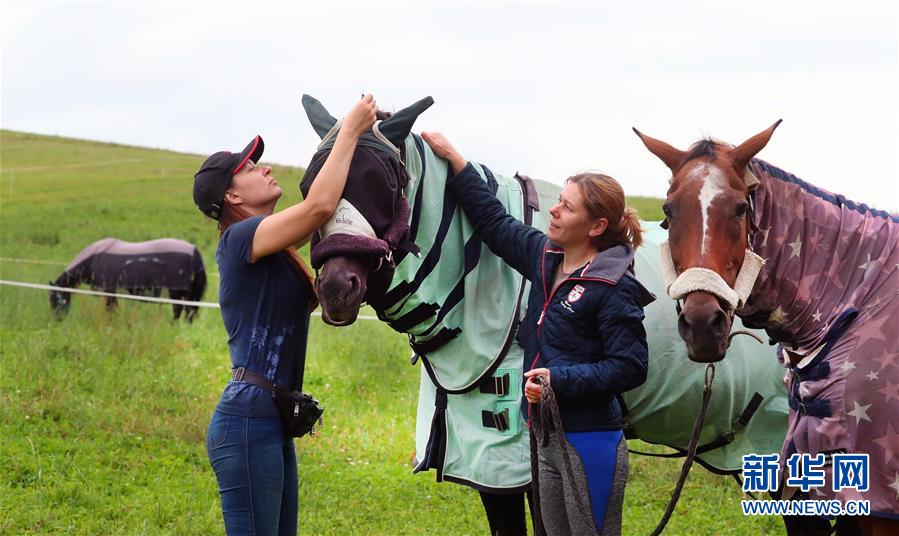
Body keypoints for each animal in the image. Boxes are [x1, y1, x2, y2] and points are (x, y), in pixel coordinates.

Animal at [50, 237, 207, 321]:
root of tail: (193, 250)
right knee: (189, 310)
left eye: (54, 298)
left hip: (176, 290)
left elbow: (111, 308)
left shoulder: (109, 289)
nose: (57, 319)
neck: (93, 258)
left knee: (179, 309)